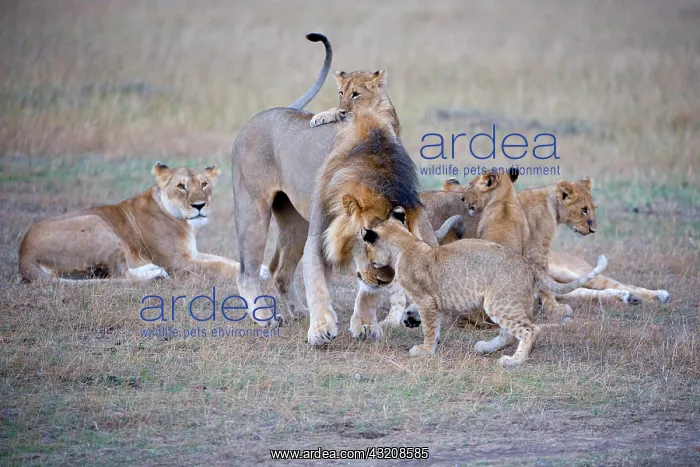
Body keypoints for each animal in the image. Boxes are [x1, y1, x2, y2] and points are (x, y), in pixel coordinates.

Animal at [19, 163, 246, 283]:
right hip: (97, 223)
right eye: (181, 186)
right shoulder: (176, 262)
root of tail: (23, 255)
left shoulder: (192, 254)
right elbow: (217, 265)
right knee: (119, 274)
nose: (199, 205)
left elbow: (224, 259)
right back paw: (156, 273)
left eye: (204, 184)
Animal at [360, 207, 608, 366]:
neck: (406, 243)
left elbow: (429, 328)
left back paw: (514, 361)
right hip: (509, 303)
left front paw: (425, 351)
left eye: (368, 249)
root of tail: (528, 264)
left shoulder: (426, 300)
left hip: (500, 302)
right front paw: (432, 346)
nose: (370, 262)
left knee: (531, 330)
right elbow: (435, 328)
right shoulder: (434, 304)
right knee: (510, 334)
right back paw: (486, 348)